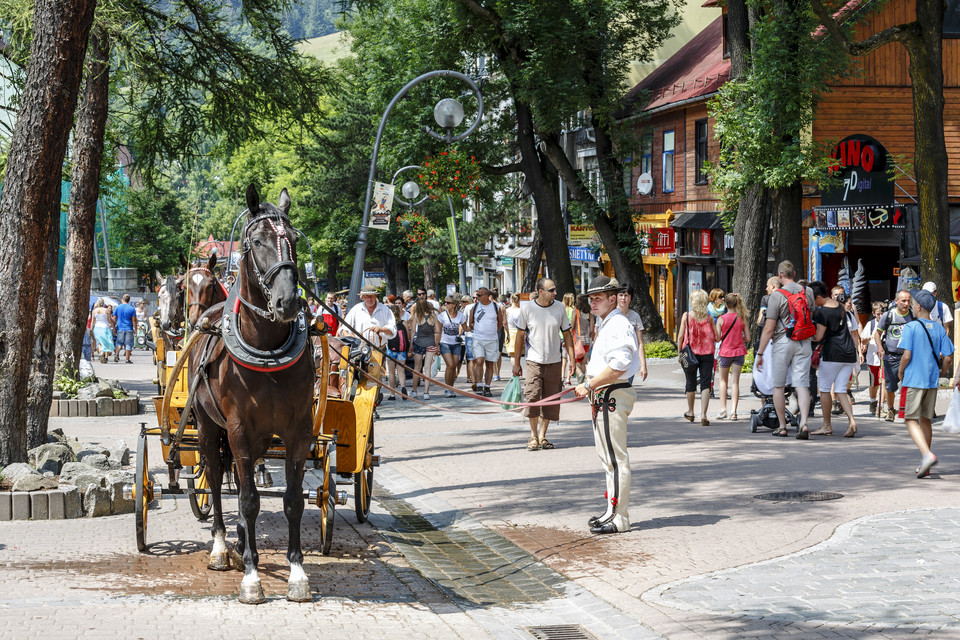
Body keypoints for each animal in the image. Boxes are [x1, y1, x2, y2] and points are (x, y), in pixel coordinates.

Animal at [190, 185, 316, 604]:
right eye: (257, 241)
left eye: (293, 240)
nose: (288, 301)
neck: (267, 349)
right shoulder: (238, 430)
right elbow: (246, 500)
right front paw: (251, 577)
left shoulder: (298, 431)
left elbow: (293, 500)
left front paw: (297, 573)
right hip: (209, 427)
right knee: (215, 477)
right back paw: (221, 547)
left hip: (262, 437)